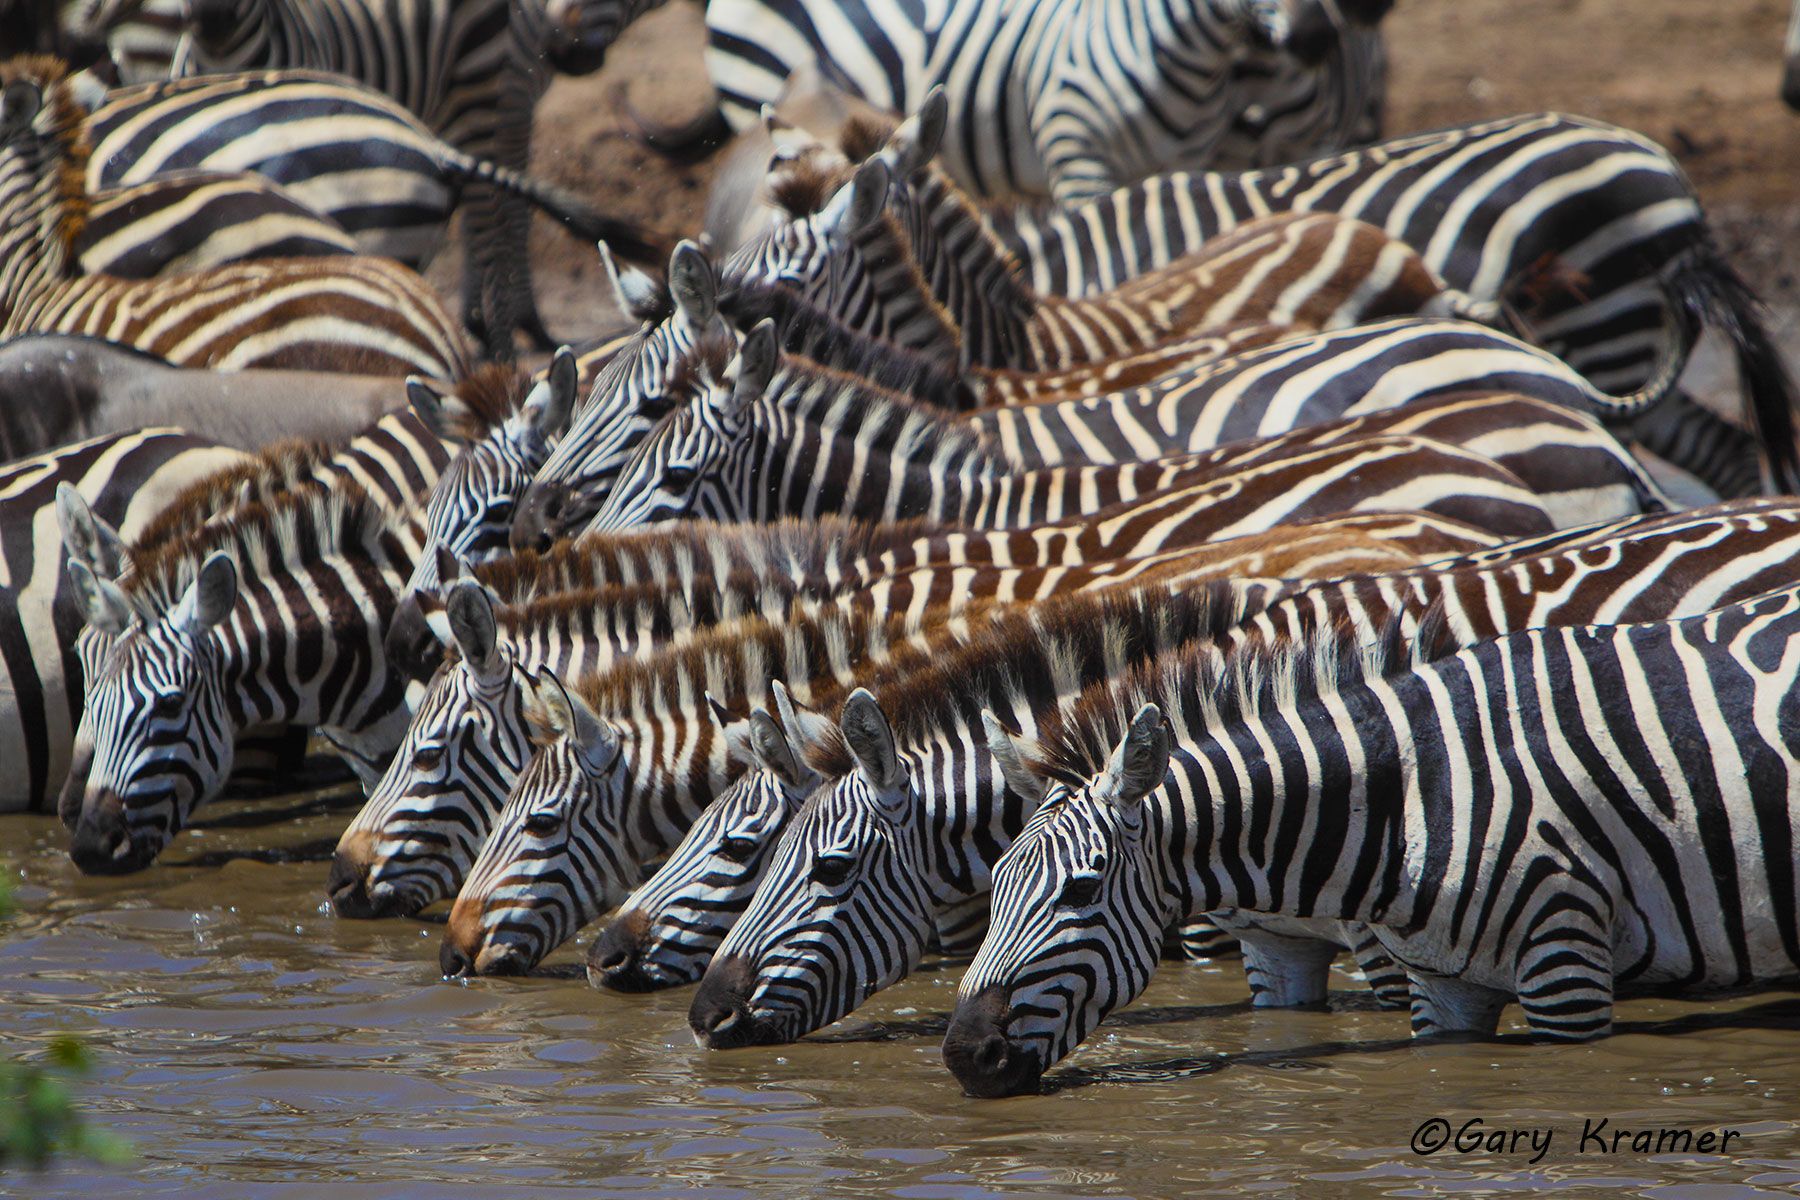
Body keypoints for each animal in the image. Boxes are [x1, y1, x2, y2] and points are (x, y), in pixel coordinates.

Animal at [947, 585, 1800, 1095]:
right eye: (994, 885)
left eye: (1082, 890)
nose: (961, 1055)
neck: (1417, 797)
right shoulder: (1444, 986)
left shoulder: (1567, 968)